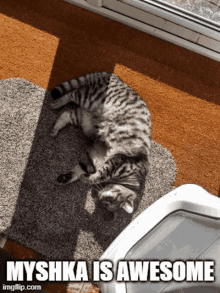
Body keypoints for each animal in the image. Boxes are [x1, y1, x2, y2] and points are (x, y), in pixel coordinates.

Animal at [49, 70, 151, 217]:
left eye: (106, 203)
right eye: (110, 200)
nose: (101, 197)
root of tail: (114, 76)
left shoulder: (94, 157)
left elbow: (79, 171)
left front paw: (69, 178)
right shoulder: (118, 162)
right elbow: (98, 176)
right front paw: (87, 179)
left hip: (83, 118)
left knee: (66, 114)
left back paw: (55, 128)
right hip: (90, 98)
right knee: (73, 93)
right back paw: (57, 102)